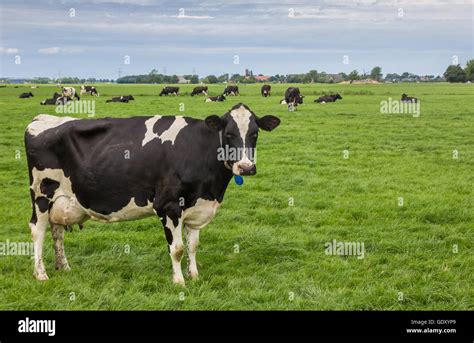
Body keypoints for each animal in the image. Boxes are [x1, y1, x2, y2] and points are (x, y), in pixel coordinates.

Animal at [24, 104, 280, 284]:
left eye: (255, 133)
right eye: (228, 134)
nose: (246, 167)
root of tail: (43, 118)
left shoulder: (197, 208)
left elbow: (193, 246)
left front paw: (194, 275)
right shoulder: (168, 206)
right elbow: (177, 249)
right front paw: (179, 282)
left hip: (61, 200)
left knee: (57, 232)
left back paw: (64, 267)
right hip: (41, 195)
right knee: (38, 230)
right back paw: (40, 273)